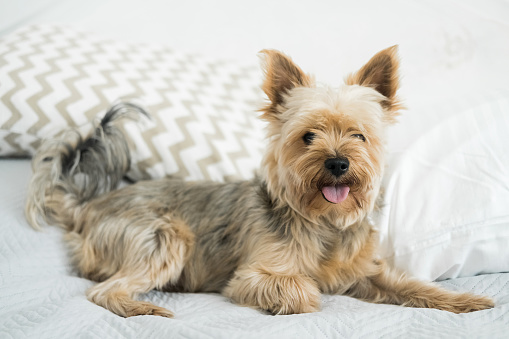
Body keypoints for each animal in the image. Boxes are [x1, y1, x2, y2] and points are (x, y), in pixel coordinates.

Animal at [25, 46, 494, 318]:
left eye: (359, 135)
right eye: (308, 137)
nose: (338, 162)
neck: (323, 220)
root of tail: (88, 207)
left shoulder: (367, 273)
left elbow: (411, 285)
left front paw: (463, 301)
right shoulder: (252, 276)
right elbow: (303, 289)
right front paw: (301, 296)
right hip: (165, 235)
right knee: (104, 292)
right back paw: (142, 308)